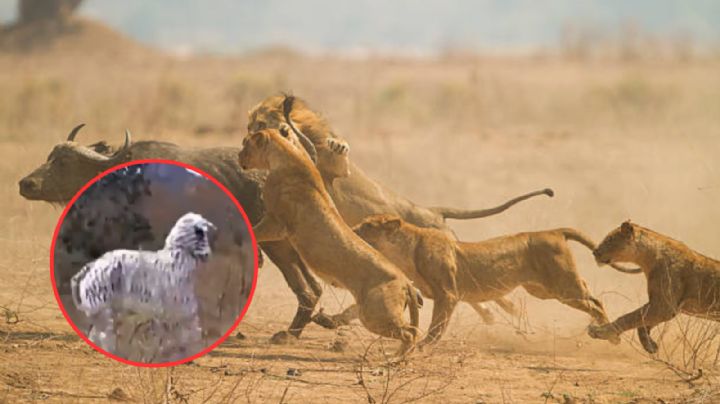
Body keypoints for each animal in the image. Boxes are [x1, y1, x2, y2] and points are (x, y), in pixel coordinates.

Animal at [238, 128, 421, 357]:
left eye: (246, 144)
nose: (238, 156)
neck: (287, 156)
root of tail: (405, 281)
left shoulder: (276, 223)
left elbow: (254, 232)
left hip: (375, 314)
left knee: (410, 332)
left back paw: (395, 358)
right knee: (411, 331)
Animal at [248, 94, 554, 336]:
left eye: (260, 123)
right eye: (252, 125)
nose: (249, 134)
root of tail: (433, 211)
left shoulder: (337, 172)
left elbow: (338, 159)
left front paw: (338, 146)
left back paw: (508, 310)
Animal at [346, 214, 623, 346]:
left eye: (367, 225)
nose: (352, 230)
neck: (405, 249)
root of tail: (553, 231)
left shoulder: (447, 294)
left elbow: (437, 327)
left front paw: (424, 346)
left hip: (562, 286)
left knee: (596, 302)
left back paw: (611, 335)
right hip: (543, 290)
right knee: (590, 294)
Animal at [588, 221, 720, 354]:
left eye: (609, 239)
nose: (594, 252)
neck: (647, 258)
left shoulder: (664, 307)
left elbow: (629, 318)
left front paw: (599, 332)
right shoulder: (659, 305)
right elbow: (641, 322)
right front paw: (650, 345)